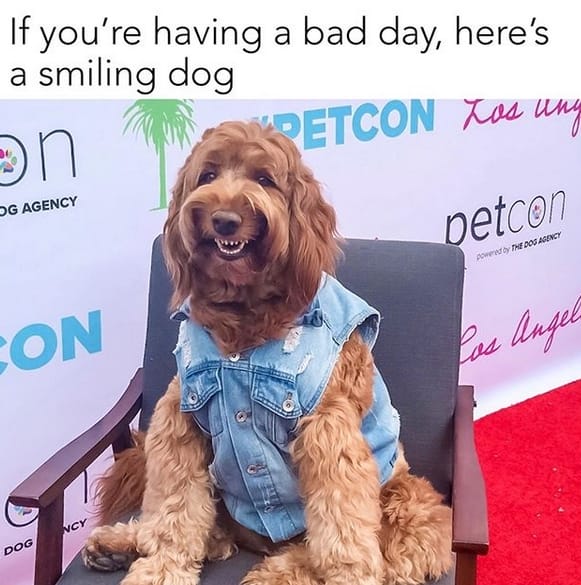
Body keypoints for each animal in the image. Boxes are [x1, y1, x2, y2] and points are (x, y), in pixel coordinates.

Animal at [82, 120, 452, 585]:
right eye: (208, 175)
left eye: (264, 179)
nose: (224, 220)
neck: (245, 318)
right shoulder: (180, 412)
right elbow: (173, 511)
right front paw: (161, 568)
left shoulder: (328, 429)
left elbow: (343, 529)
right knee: (210, 534)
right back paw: (116, 544)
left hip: (409, 505)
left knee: (369, 553)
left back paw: (275, 573)